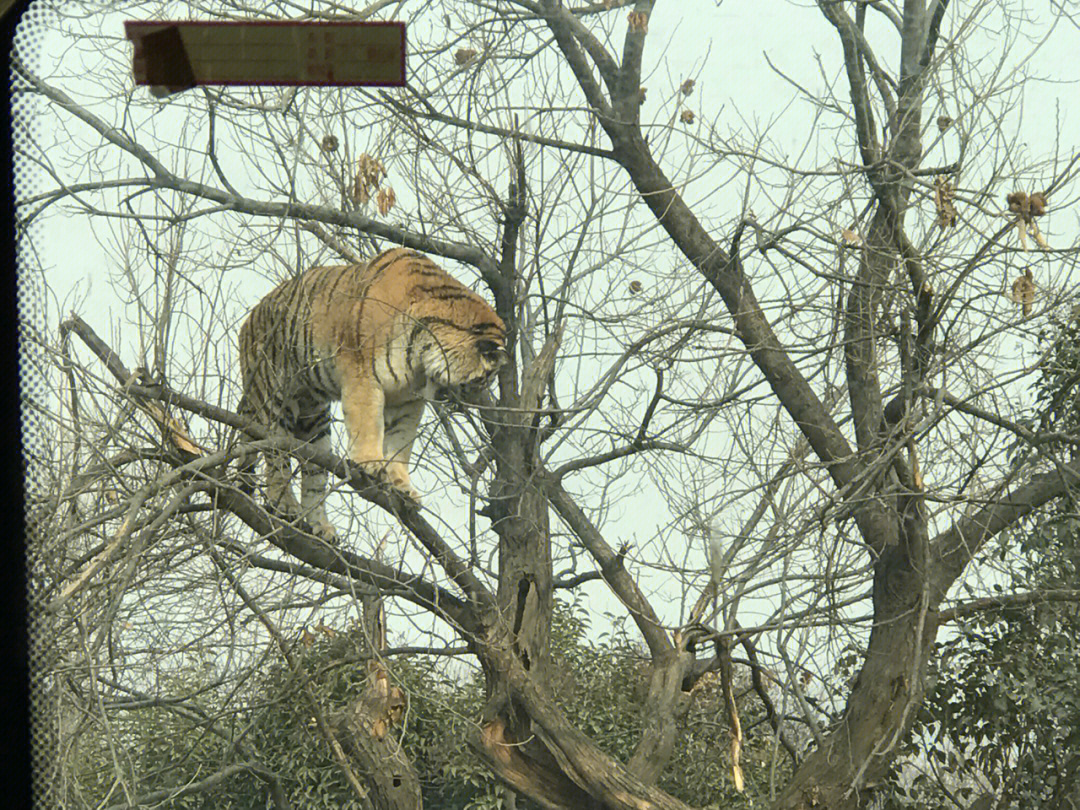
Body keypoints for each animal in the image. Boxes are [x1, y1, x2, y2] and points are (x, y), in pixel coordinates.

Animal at [236, 247, 505, 540]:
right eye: (478, 383)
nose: (452, 402)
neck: (421, 351)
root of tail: (249, 319)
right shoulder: (362, 375)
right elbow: (368, 424)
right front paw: (370, 463)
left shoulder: (408, 402)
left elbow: (401, 443)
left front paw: (402, 485)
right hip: (271, 396)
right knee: (275, 454)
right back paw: (283, 503)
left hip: (314, 419)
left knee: (314, 475)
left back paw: (322, 527)